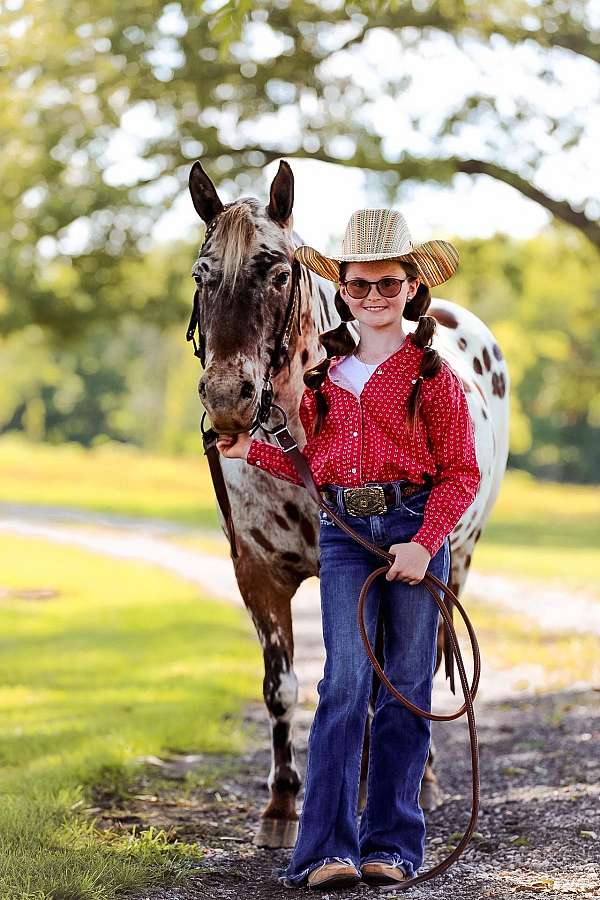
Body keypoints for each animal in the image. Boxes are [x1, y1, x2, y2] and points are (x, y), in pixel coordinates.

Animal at [190, 158, 508, 848]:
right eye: (202, 275)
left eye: (278, 272)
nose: (228, 399)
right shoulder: (258, 576)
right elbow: (281, 688)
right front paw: (283, 805)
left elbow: (380, 681)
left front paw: (368, 793)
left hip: (456, 562)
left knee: (421, 665)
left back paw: (420, 779)